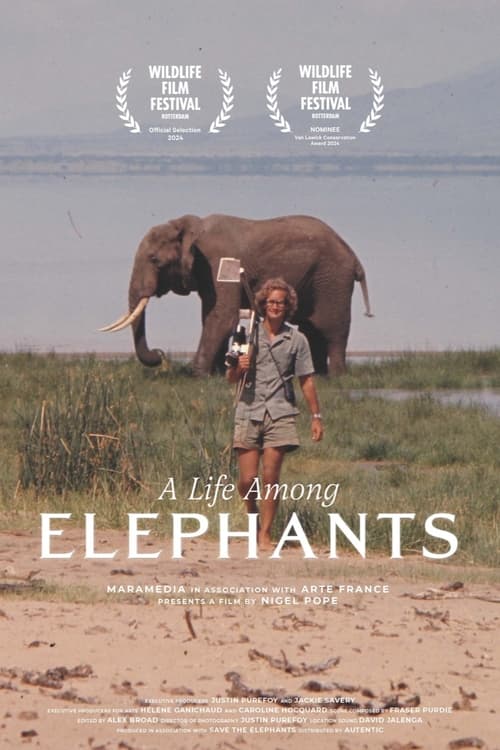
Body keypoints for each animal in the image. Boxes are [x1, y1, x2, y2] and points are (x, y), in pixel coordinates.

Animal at [101, 213, 373, 375]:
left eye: (155, 260)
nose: (159, 354)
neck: (190, 227)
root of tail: (354, 257)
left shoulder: (220, 262)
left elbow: (222, 317)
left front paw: (197, 374)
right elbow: (212, 317)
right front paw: (217, 374)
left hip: (333, 281)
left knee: (332, 330)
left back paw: (335, 377)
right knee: (312, 329)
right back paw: (316, 374)